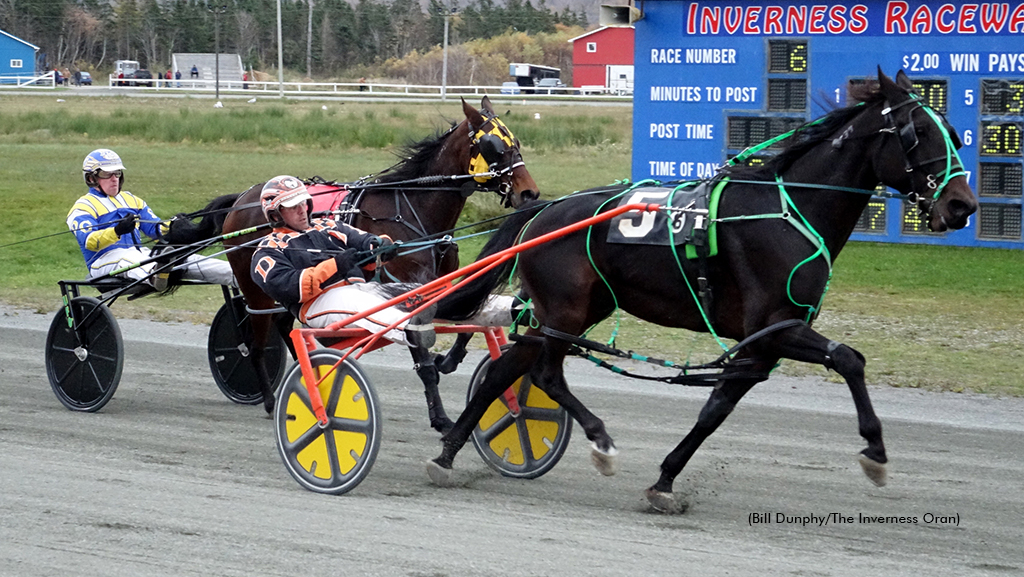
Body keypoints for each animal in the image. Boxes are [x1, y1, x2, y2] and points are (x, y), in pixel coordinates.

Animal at [163, 96, 540, 424]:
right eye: (493, 145)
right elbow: (423, 355)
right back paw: (271, 399)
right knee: (256, 342)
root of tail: (241, 199)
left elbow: (470, 309)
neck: (413, 209)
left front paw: (450, 358)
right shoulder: (406, 292)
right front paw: (440, 417)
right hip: (254, 286)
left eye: (516, 140)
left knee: (286, 326)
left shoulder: (440, 282)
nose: (529, 192)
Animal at [428, 70, 978, 512]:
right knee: (543, 372)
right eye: (918, 132)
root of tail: (543, 211)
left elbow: (717, 407)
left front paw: (665, 481)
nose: (962, 205)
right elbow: (849, 359)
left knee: (506, 370)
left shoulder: (762, 343)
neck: (789, 213)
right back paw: (599, 441)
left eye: (952, 133)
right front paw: (876, 452)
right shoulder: (774, 327)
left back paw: (448, 453)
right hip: (564, 310)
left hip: (571, 311)